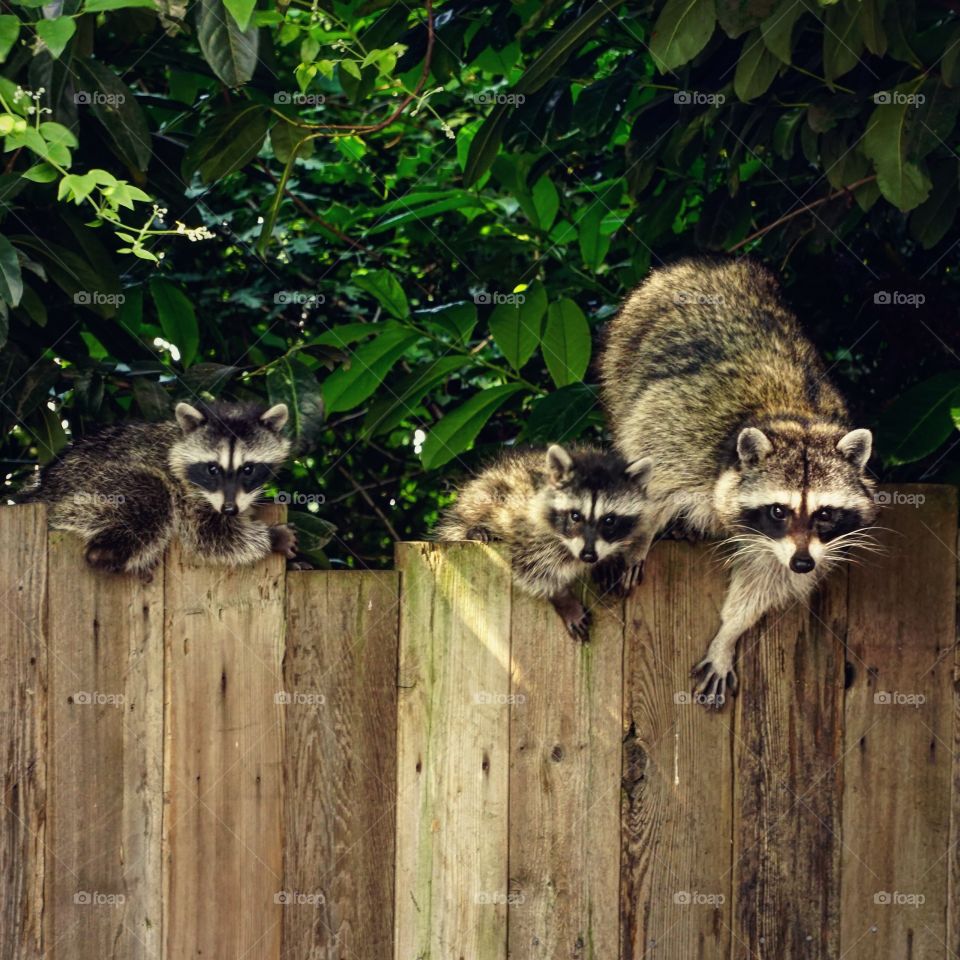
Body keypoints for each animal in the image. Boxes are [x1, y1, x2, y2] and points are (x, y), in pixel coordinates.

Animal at [23, 402, 300, 580]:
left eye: (248, 469)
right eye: (212, 469)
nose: (229, 509)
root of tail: (42, 490)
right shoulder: (187, 491)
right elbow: (211, 536)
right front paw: (272, 537)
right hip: (88, 482)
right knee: (153, 491)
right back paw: (106, 552)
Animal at [434, 446, 652, 640]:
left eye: (609, 520)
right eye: (575, 516)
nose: (589, 555)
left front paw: (609, 559)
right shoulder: (523, 526)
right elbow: (533, 568)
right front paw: (562, 597)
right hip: (483, 493)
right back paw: (476, 529)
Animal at [600, 258, 876, 708]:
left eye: (825, 513)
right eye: (779, 510)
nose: (804, 563)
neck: (795, 418)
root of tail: (711, 262)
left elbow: (767, 579)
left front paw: (729, 633)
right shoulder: (682, 431)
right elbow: (652, 476)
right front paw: (640, 536)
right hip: (623, 353)